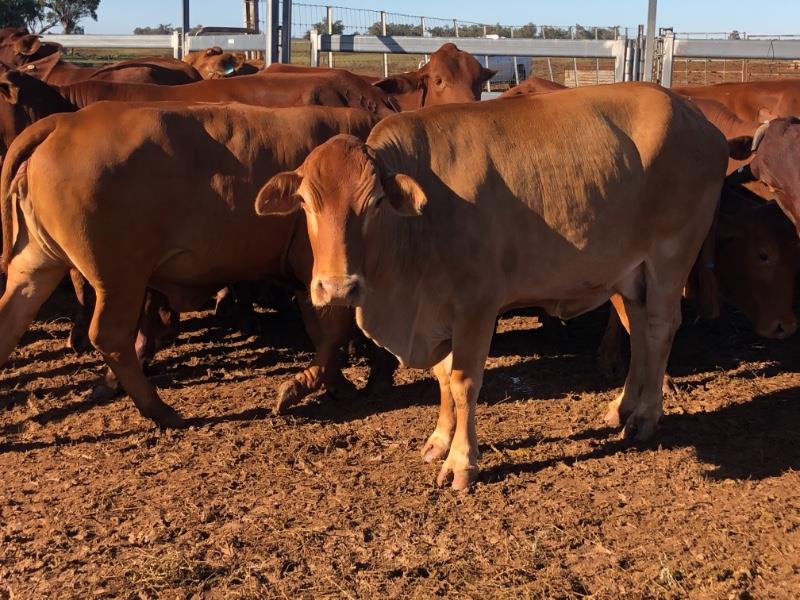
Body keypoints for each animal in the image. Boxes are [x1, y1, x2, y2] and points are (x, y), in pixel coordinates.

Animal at [0, 103, 381, 427]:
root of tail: (65, 121)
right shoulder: (320, 273)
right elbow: (333, 330)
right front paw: (311, 385)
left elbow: (324, 332)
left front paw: (334, 382)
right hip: (121, 278)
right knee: (111, 335)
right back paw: (158, 408)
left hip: (38, 265)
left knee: (11, 318)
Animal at [254, 83, 729, 489]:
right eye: (306, 203)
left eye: (374, 203)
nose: (337, 288)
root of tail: (694, 115)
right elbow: (443, 379)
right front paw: (439, 440)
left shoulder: (477, 306)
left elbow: (464, 383)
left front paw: (462, 461)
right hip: (628, 274)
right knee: (638, 329)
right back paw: (623, 406)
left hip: (670, 255)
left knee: (660, 329)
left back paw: (646, 416)